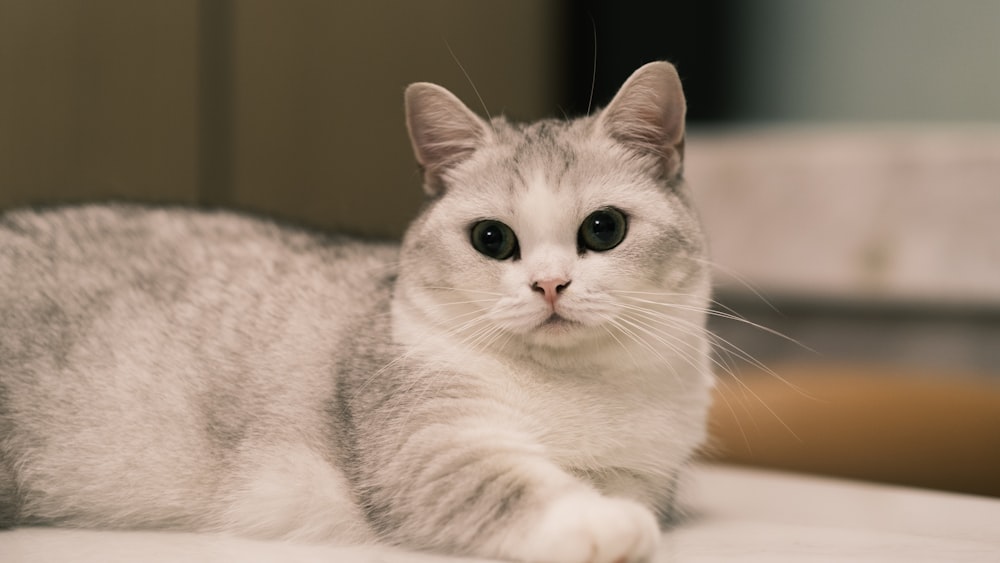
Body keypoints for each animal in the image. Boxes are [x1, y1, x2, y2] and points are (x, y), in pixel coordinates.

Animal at [1, 61, 720, 563]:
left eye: (604, 229)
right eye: (492, 239)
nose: (549, 285)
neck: (573, 386)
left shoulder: (642, 471)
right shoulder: (428, 444)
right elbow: (514, 483)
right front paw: (601, 524)